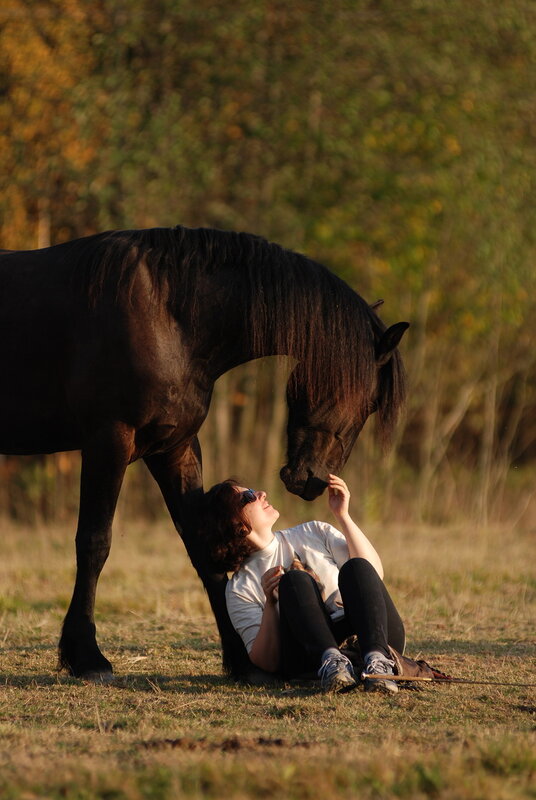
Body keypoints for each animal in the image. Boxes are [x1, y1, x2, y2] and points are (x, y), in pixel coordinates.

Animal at [0, 227, 406, 680]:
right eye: (370, 402)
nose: (312, 479)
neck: (166, 312)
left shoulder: (174, 448)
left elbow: (202, 548)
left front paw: (241, 659)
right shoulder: (109, 439)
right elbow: (93, 543)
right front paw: (86, 655)